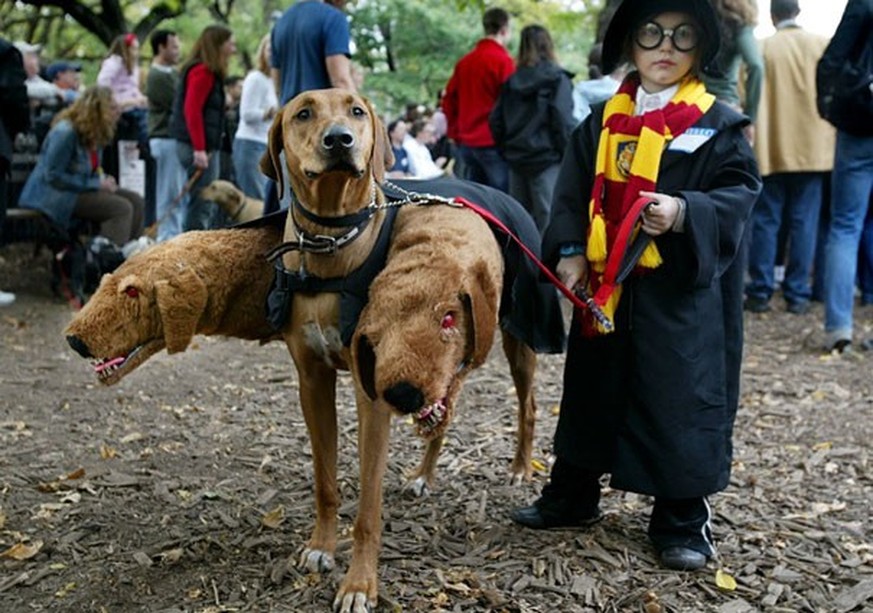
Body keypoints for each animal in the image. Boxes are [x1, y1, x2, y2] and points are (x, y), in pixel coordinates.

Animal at [258, 89, 540, 612]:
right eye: (303, 112)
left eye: (356, 111)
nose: (340, 140)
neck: (332, 242)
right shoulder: (312, 380)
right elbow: (325, 480)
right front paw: (321, 546)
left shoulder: (372, 392)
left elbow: (368, 506)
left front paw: (358, 584)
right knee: (445, 409)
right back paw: (425, 472)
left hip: (518, 336)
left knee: (527, 404)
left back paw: (518, 467)